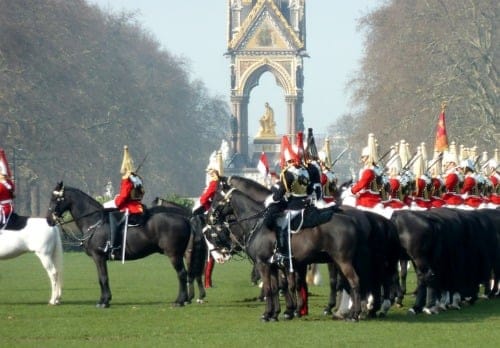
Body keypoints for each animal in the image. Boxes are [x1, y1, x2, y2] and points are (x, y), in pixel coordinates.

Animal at [46, 182, 193, 308]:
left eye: (56, 199)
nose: (48, 219)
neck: (95, 221)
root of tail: (184, 219)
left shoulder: (98, 257)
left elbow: (103, 278)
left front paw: (104, 301)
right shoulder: (99, 258)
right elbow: (102, 278)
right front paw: (104, 300)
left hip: (173, 255)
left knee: (181, 274)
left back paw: (180, 301)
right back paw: (185, 299)